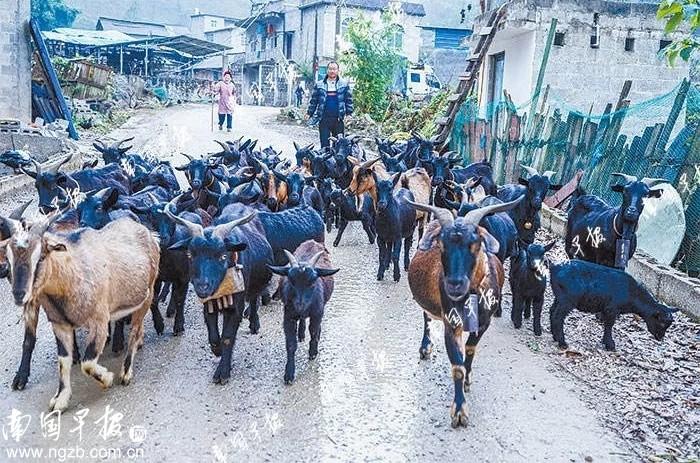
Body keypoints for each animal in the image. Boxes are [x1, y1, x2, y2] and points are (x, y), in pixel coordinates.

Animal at [3, 216, 159, 412]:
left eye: (41, 257)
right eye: (9, 259)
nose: (19, 294)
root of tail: (149, 234)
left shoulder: (99, 321)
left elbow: (88, 363)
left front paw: (107, 379)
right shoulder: (60, 324)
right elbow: (64, 360)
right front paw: (60, 399)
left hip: (148, 293)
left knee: (135, 330)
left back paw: (126, 372)